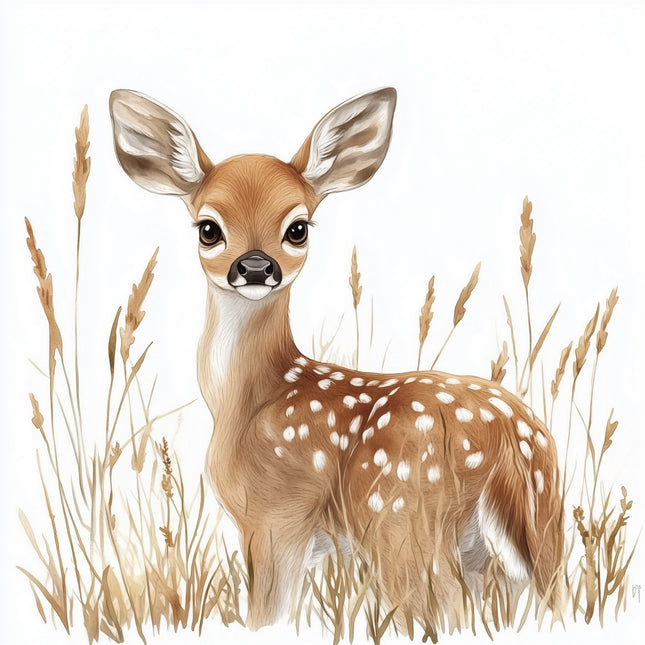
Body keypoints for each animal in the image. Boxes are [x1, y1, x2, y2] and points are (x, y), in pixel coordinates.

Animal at [109, 87, 563, 631]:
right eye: (208, 229)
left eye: (297, 228)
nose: (256, 267)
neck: (248, 400)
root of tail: (506, 434)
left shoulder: (276, 514)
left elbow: (265, 615)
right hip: (534, 525)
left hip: (398, 516)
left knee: (442, 606)